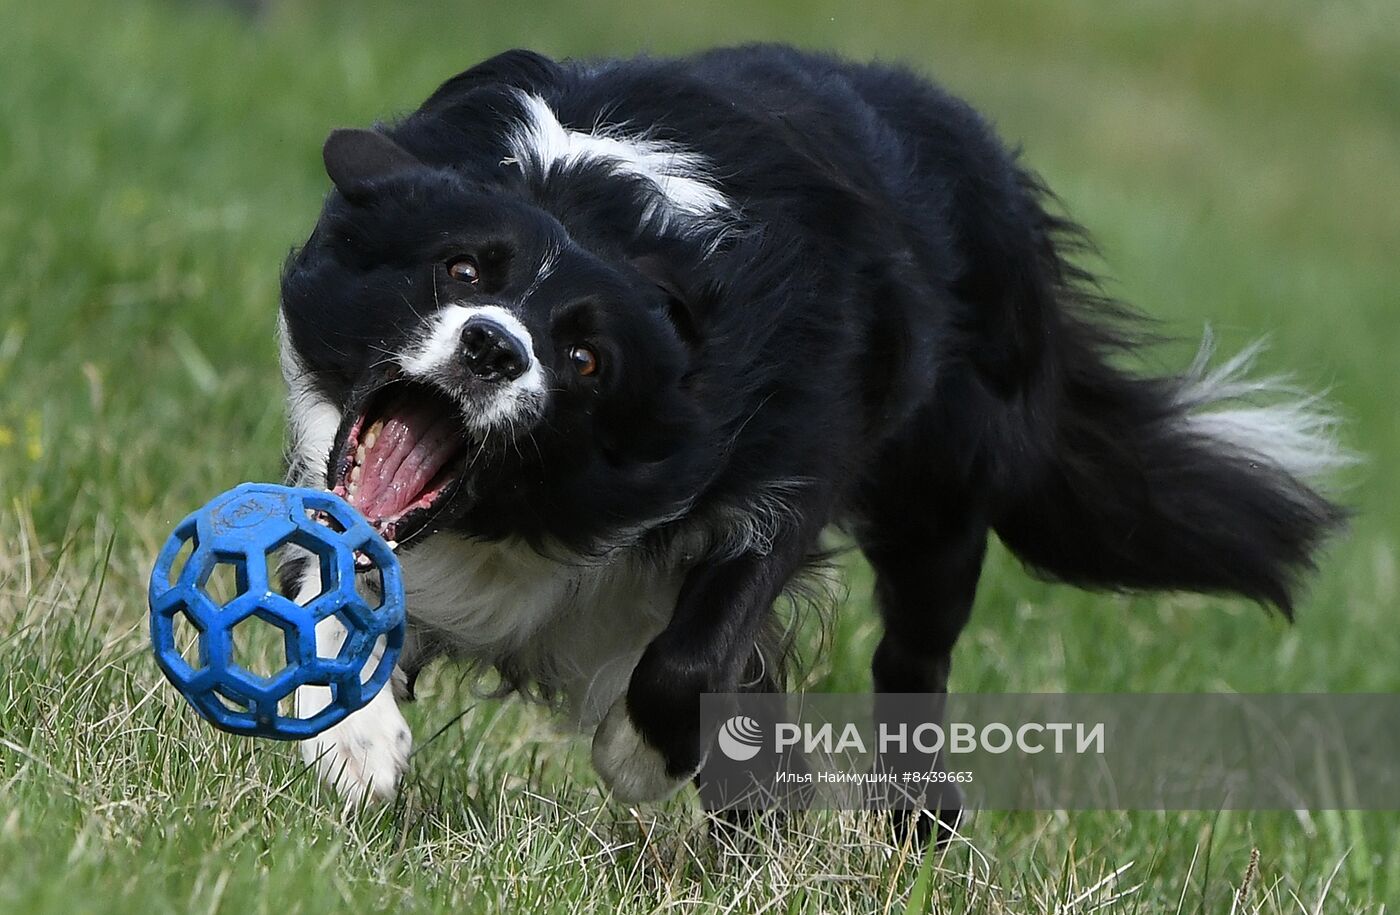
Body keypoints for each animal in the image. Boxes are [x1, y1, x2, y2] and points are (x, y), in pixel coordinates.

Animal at [275, 46, 1344, 811]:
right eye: (460, 270)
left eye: (585, 359)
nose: (495, 347)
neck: (594, 200)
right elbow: (322, 569)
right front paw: (353, 740)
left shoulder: (787, 463)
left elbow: (694, 654)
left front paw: (640, 756)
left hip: (942, 497)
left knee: (913, 662)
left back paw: (914, 823)